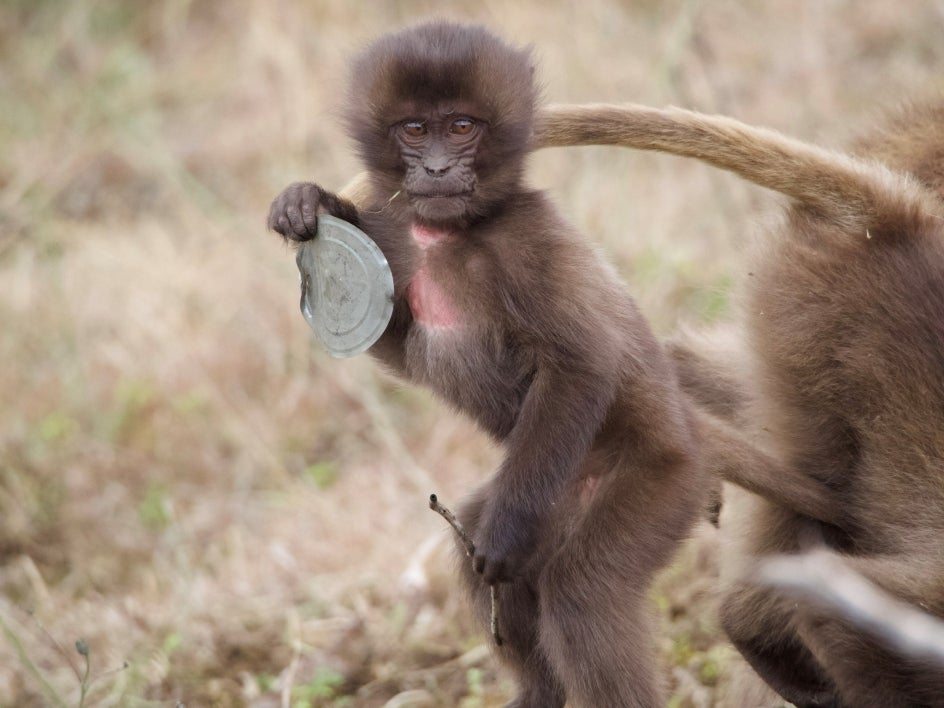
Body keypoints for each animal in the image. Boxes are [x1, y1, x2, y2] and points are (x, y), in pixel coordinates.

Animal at [270, 22, 704, 708]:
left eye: (462, 127)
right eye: (415, 129)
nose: (438, 168)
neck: (450, 235)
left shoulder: (531, 244)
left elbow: (582, 365)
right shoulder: (395, 237)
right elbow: (396, 343)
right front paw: (308, 203)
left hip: (656, 483)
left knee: (578, 592)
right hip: (548, 496)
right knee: (476, 538)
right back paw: (538, 692)